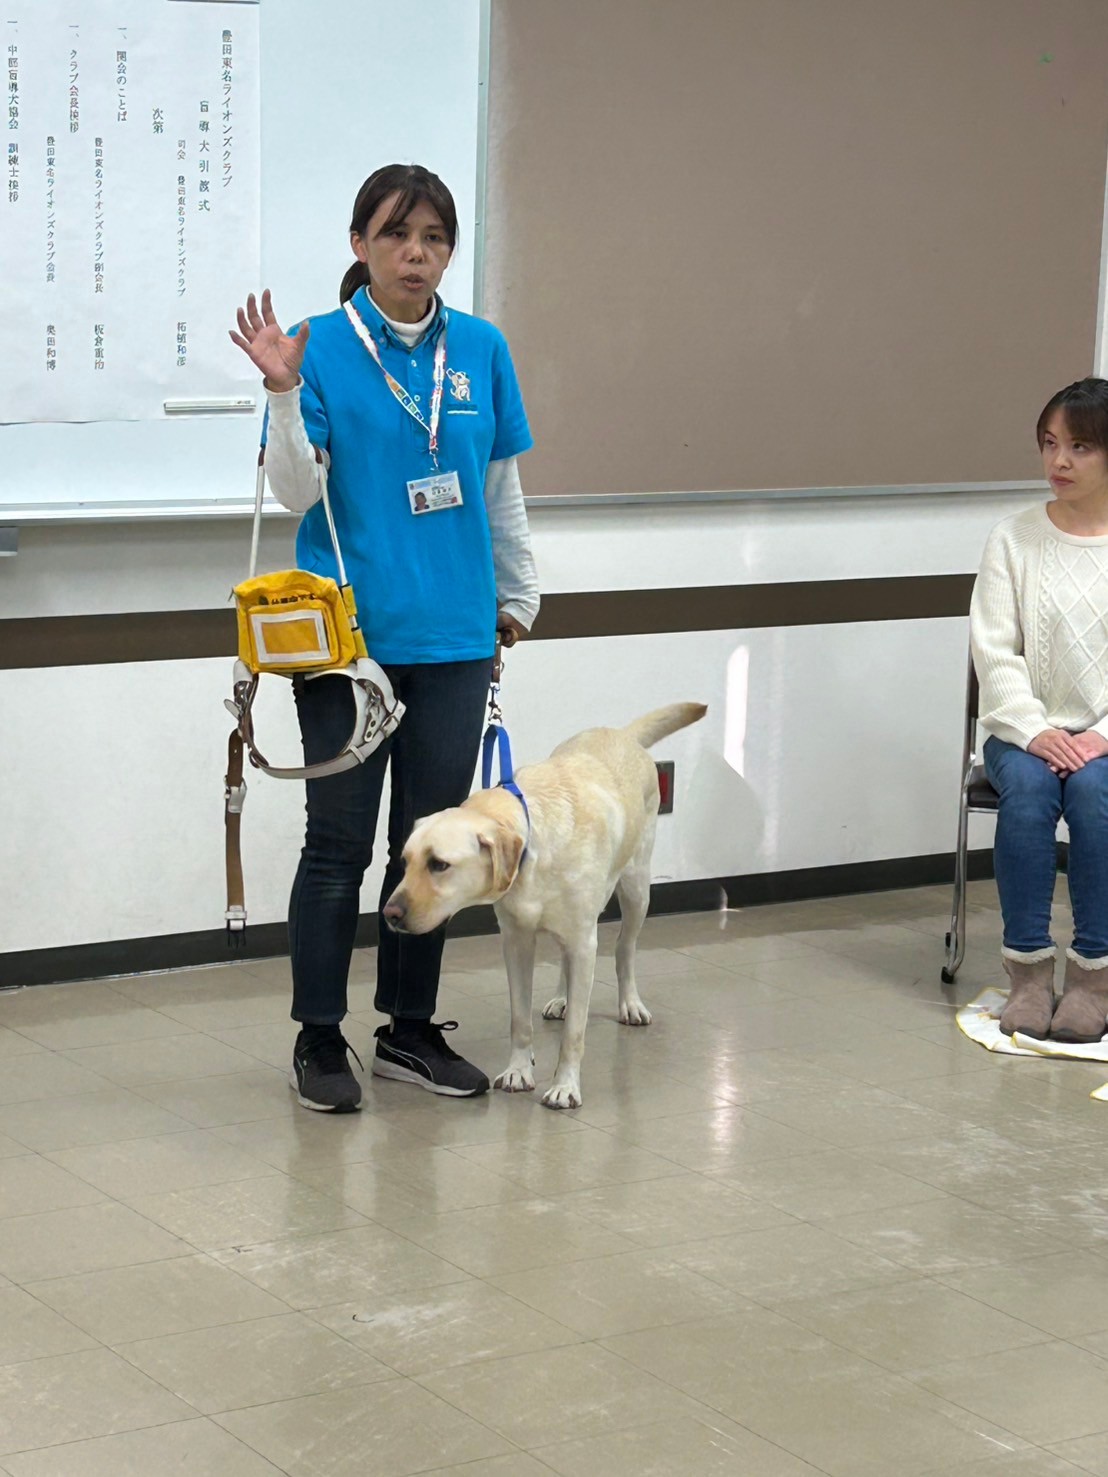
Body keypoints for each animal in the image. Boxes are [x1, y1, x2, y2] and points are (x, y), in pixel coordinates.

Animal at [387, 703, 706, 1110]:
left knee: (624, 949)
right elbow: (519, 1020)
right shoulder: (517, 941)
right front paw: (519, 1070)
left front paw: (565, 1086)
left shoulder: (584, 940)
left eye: (439, 864)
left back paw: (630, 1003)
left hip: (637, 888)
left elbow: (574, 1034)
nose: (390, 914)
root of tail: (623, 733)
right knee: (568, 963)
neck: (533, 845)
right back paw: (561, 999)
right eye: (406, 860)